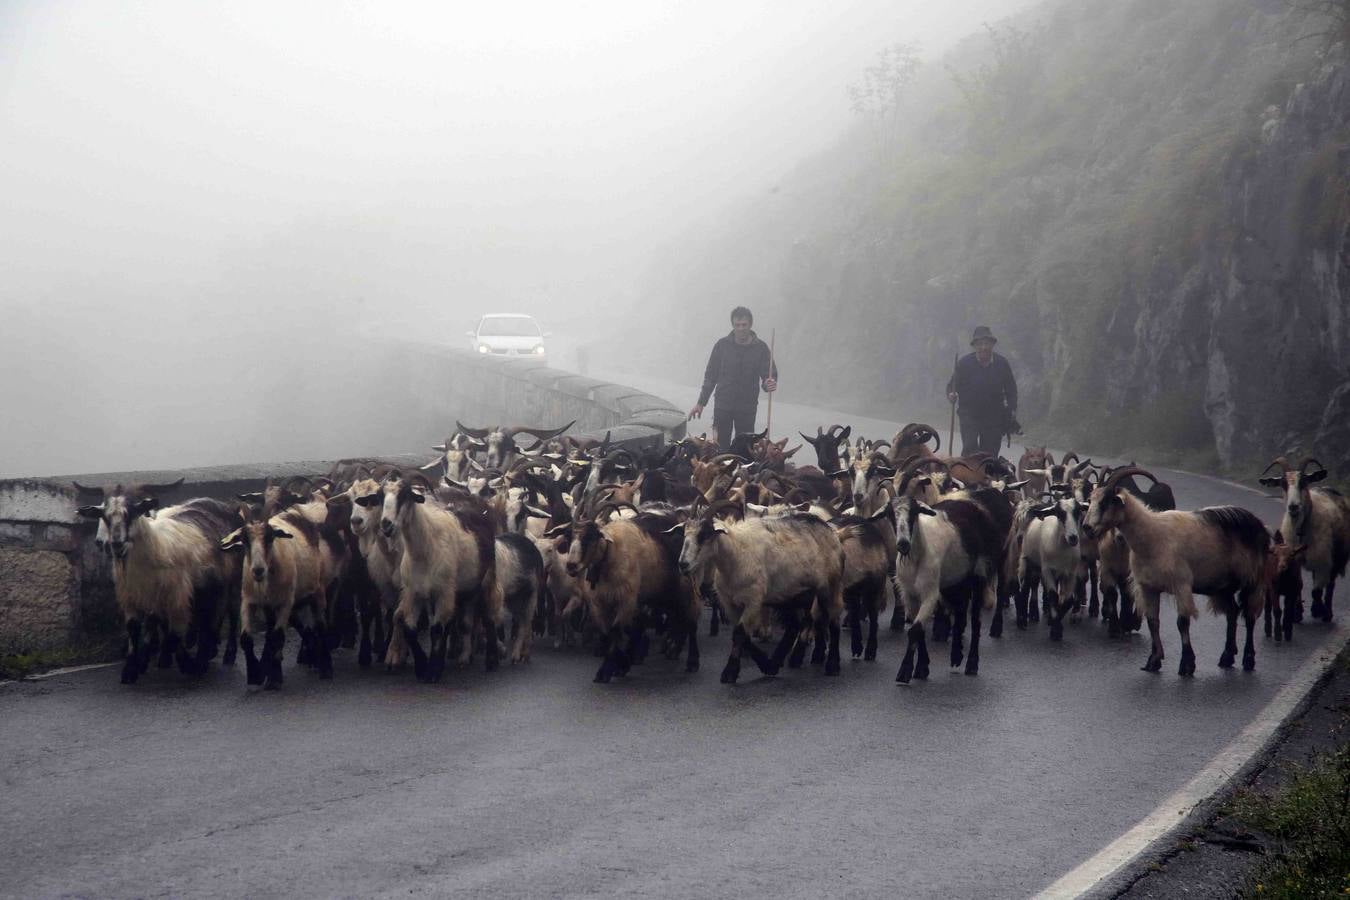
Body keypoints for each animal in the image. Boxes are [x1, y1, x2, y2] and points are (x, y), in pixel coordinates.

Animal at [1085, 469, 1263, 671]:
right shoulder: (1149, 587)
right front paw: (1153, 661)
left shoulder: (1181, 585)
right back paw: (1227, 656)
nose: (1086, 527)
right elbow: (1153, 622)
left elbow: (1182, 622)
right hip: (1223, 586)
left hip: (1252, 579)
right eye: (1091, 500)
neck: (1153, 536)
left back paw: (1248, 659)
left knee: (1249, 616)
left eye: (1105, 502)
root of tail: (1256, 522)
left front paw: (1187, 663)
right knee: (1232, 613)